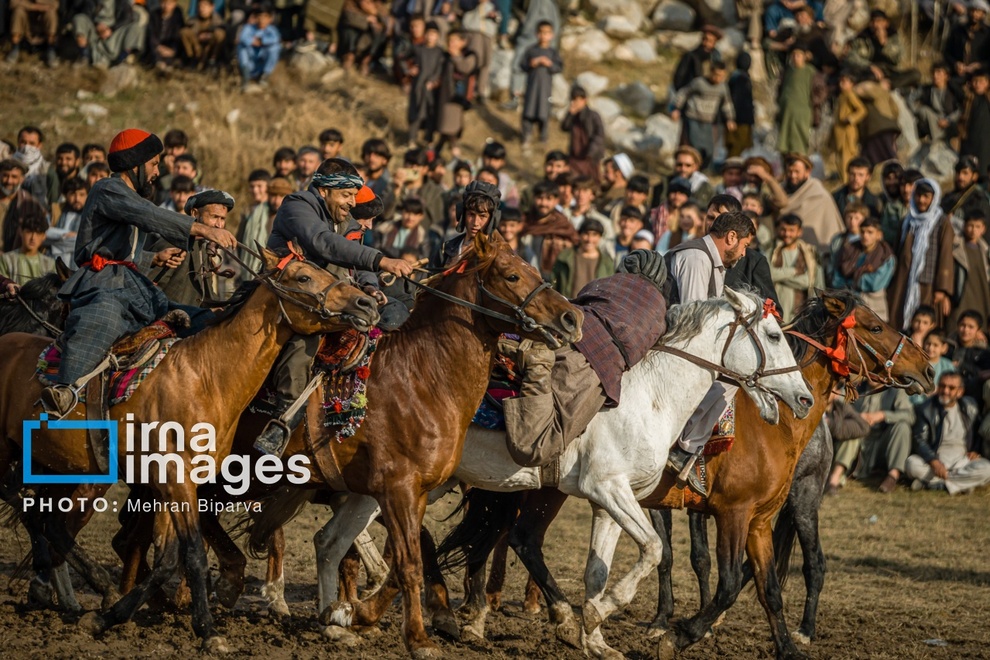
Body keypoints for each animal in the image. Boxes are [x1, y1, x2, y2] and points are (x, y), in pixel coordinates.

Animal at [0, 250, 380, 652]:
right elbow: (194, 554)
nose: (367, 303)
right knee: (41, 516)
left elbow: (168, 559)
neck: (205, 377)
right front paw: (209, 630)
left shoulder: (181, 485)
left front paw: (114, 616)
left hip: (55, 466)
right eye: (304, 277)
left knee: (45, 520)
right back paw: (97, 586)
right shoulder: (174, 479)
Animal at [280, 292, 820, 656]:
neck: (652, 395)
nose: (803, 398)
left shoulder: (609, 500)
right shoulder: (611, 489)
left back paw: (341, 617)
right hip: (397, 486)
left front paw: (594, 636)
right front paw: (608, 619)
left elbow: (597, 570)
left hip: (378, 488)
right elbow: (652, 550)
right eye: (774, 336)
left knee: (332, 540)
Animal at [438, 292, 932, 660]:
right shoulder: (728, 513)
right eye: (875, 327)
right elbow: (720, 578)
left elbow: (767, 588)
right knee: (507, 538)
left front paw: (785, 648)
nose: (927, 368)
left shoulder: (756, 521)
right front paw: (676, 633)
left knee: (507, 538)